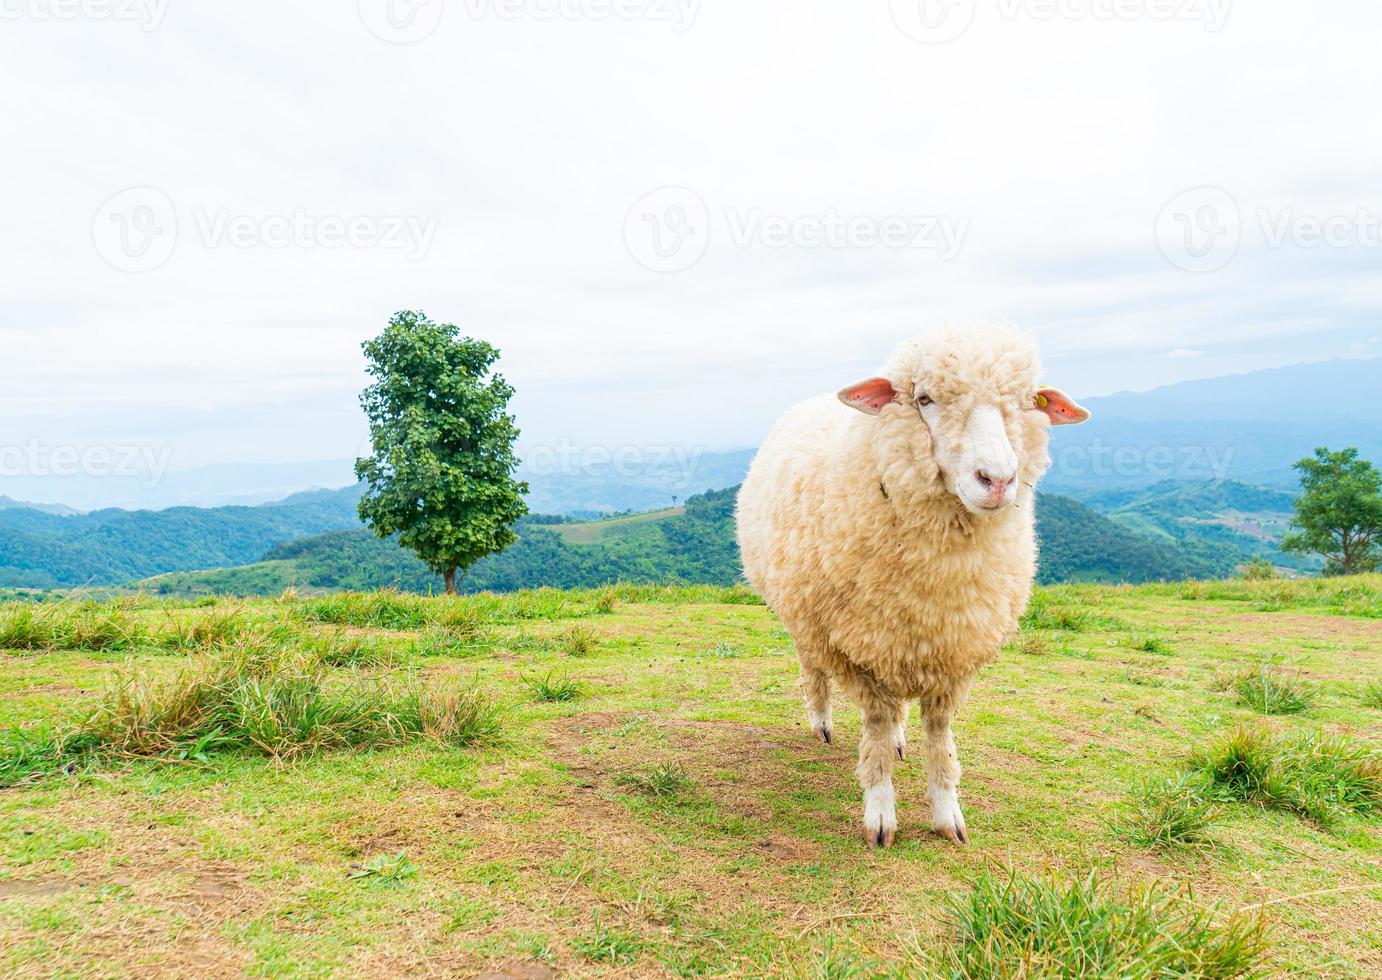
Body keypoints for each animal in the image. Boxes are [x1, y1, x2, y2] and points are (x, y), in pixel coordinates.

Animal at [735, 324, 1089, 845]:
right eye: (924, 399)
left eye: (1029, 402)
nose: (997, 480)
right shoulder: (855, 650)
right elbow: (876, 728)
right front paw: (880, 814)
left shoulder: (952, 650)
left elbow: (939, 736)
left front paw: (948, 812)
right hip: (805, 613)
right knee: (812, 668)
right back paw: (821, 721)